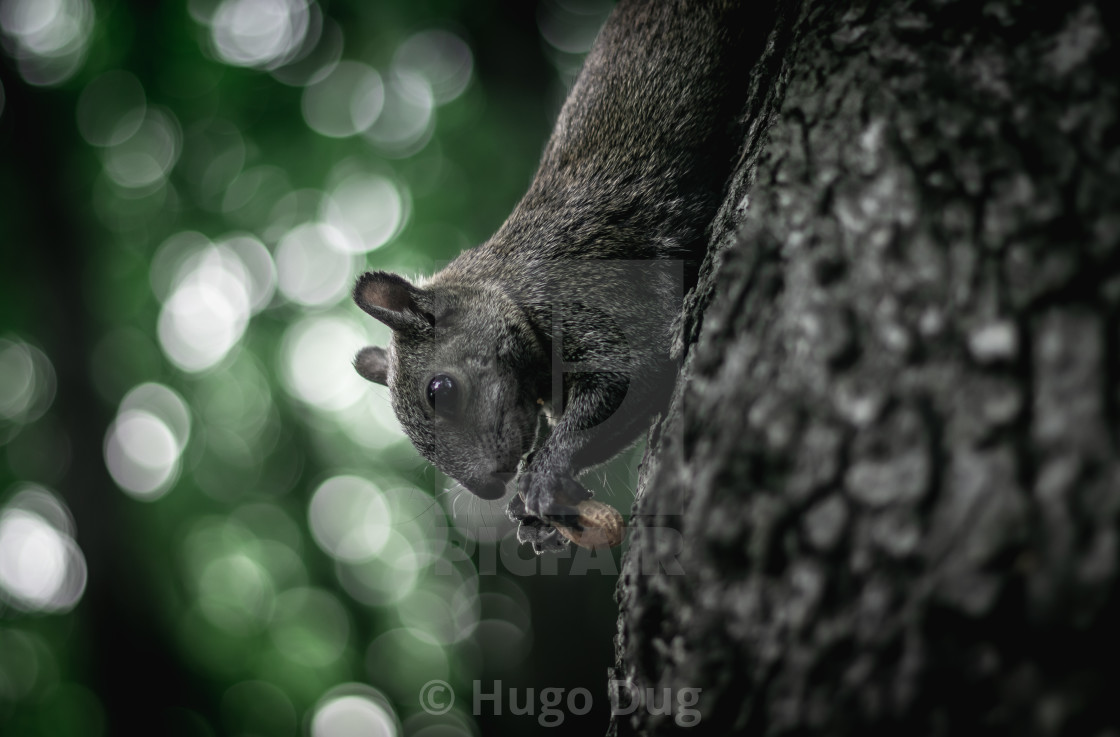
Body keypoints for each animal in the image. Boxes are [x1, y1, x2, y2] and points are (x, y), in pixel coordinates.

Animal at [351, 0, 752, 551]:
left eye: (441, 391)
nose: (488, 487)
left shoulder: (589, 295)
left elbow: (630, 377)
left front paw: (542, 475)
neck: (514, 288)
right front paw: (537, 519)